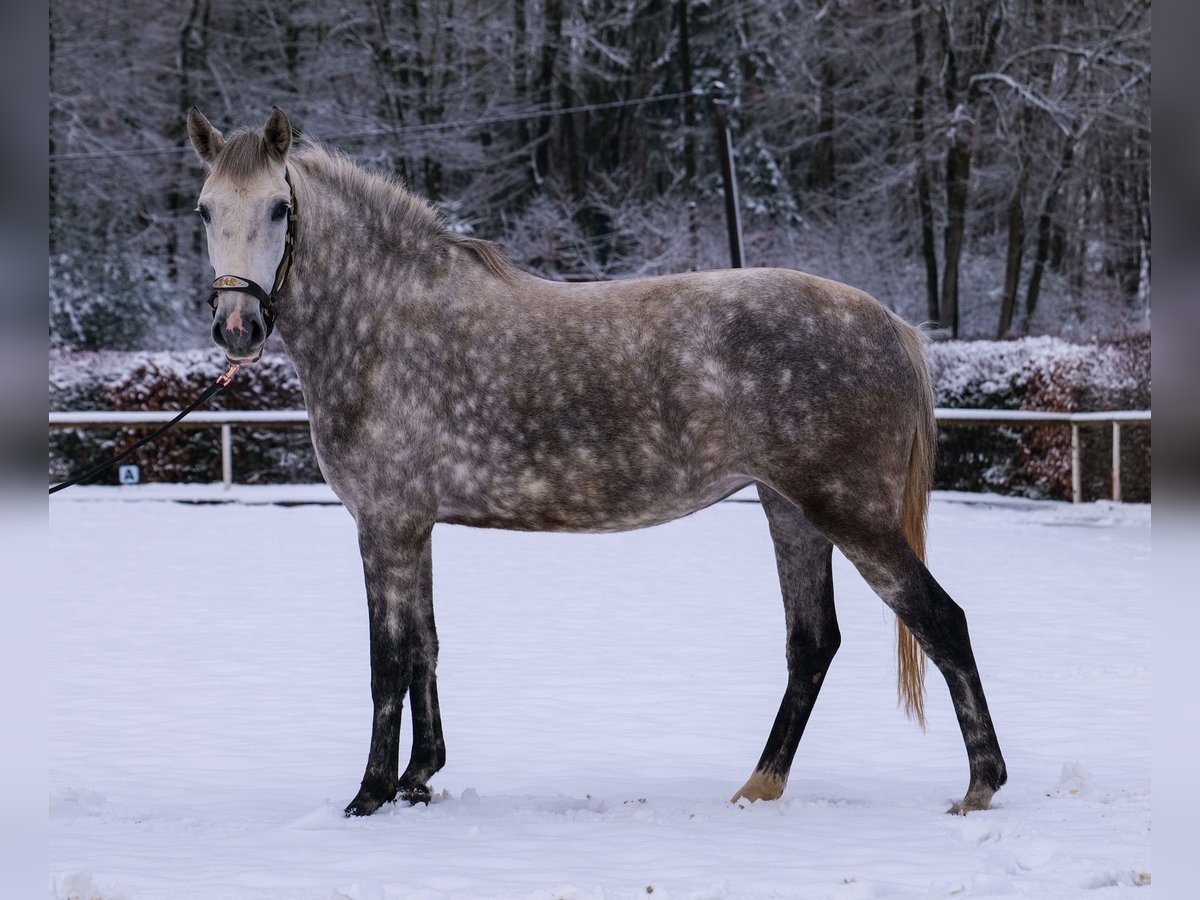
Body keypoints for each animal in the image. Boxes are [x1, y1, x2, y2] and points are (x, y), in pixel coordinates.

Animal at [187, 105, 1008, 816]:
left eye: (279, 209)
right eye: (203, 210)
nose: (237, 325)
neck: (387, 322)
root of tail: (890, 325)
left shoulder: (385, 525)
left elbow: (387, 660)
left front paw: (369, 796)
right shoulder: (413, 527)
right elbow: (425, 647)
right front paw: (420, 778)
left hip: (848, 512)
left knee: (940, 621)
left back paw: (979, 786)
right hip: (791, 510)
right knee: (812, 644)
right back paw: (759, 786)